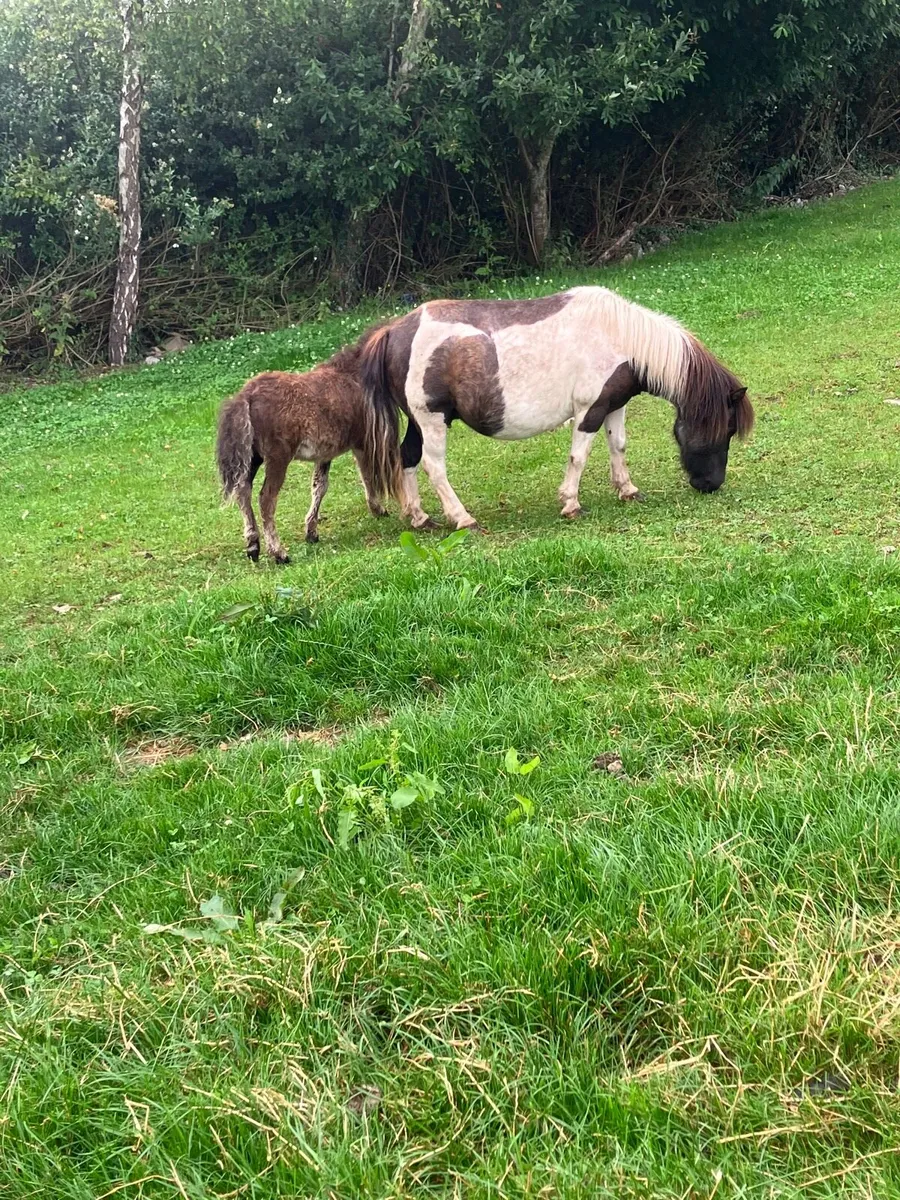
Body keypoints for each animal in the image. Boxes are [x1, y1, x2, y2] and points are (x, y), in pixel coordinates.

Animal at [216, 340, 399, 562]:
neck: (353, 375)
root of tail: (246, 395)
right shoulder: (362, 442)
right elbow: (367, 476)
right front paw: (378, 509)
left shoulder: (325, 453)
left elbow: (319, 486)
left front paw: (311, 532)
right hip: (277, 458)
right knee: (266, 498)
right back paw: (279, 553)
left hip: (253, 458)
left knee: (243, 490)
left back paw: (253, 546)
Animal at [357, 286, 754, 530]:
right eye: (727, 428)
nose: (711, 484)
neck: (619, 336)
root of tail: (395, 331)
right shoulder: (589, 410)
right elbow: (579, 457)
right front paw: (571, 503)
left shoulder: (614, 404)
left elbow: (618, 446)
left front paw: (627, 490)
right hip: (432, 420)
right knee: (433, 466)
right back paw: (462, 518)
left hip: (418, 421)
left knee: (407, 458)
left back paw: (419, 518)